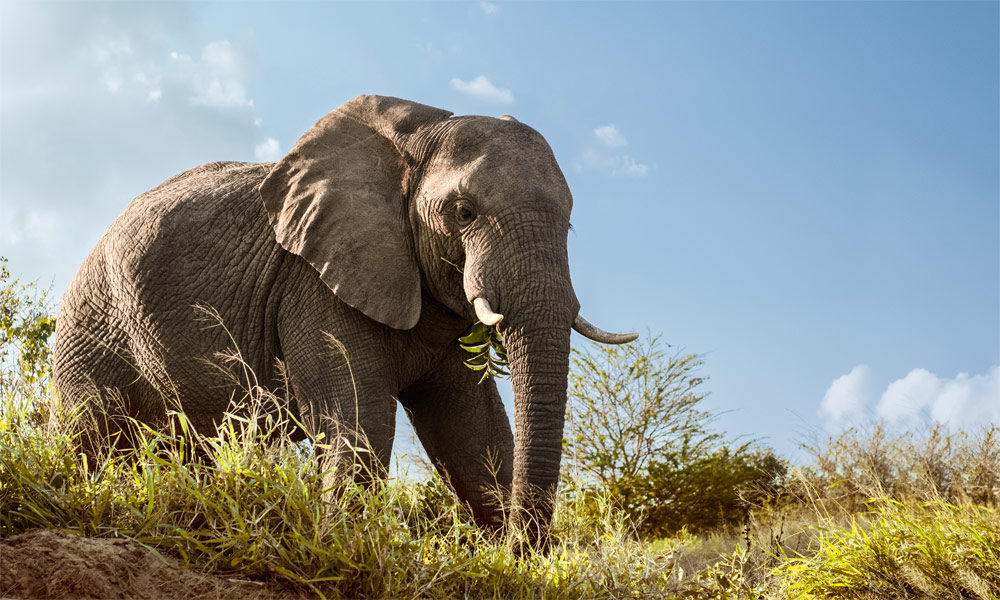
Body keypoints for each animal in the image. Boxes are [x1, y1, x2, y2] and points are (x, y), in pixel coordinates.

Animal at [52, 95, 632, 548]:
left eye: (570, 223)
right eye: (464, 212)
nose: (520, 546)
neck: (416, 137)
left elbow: (473, 433)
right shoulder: (313, 283)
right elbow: (360, 417)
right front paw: (342, 545)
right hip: (91, 323)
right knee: (91, 432)